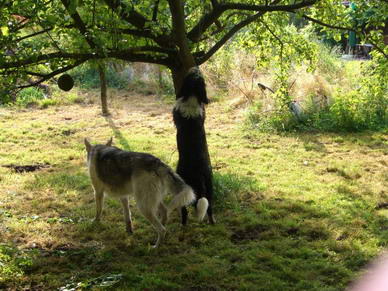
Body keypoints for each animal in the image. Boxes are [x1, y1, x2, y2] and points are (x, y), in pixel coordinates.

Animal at [173, 66, 215, 226]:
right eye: (197, 74)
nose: (196, 67)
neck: (192, 94)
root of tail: (198, 174)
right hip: (209, 185)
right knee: (209, 207)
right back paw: (212, 222)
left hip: (183, 187)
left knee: (184, 210)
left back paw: (183, 224)